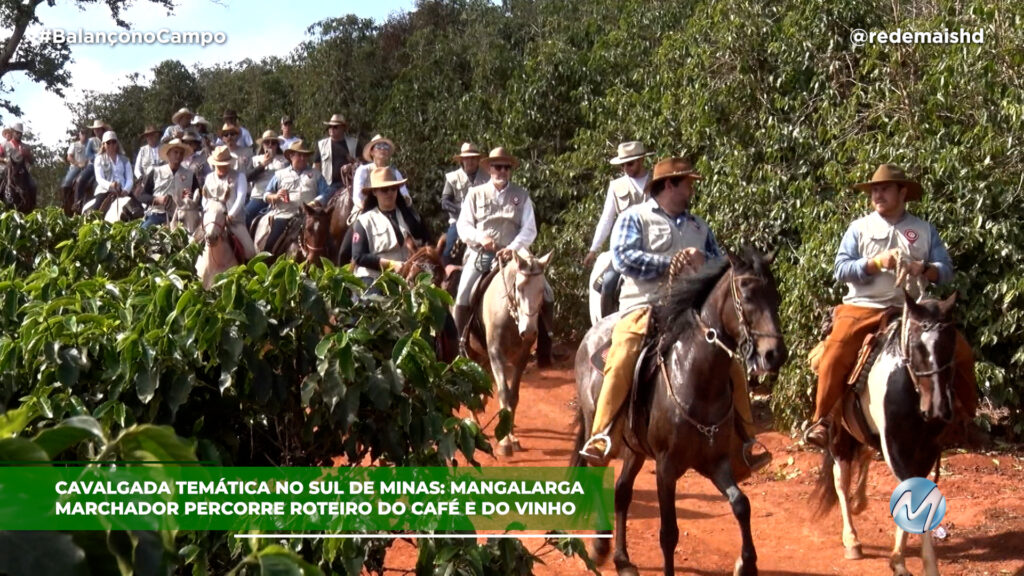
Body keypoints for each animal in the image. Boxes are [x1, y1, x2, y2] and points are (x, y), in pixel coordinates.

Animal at [573, 250, 786, 573]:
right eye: (747, 295)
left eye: (775, 295)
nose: (775, 355)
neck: (696, 378)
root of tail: (590, 335)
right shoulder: (666, 468)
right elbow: (669, 533)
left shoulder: (717, 462)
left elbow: (741, 504)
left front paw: (747, 564)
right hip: (596, 428)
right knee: (598, 479)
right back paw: (600, 547)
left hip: (634, 449)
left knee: (622, 492)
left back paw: (622, 560)